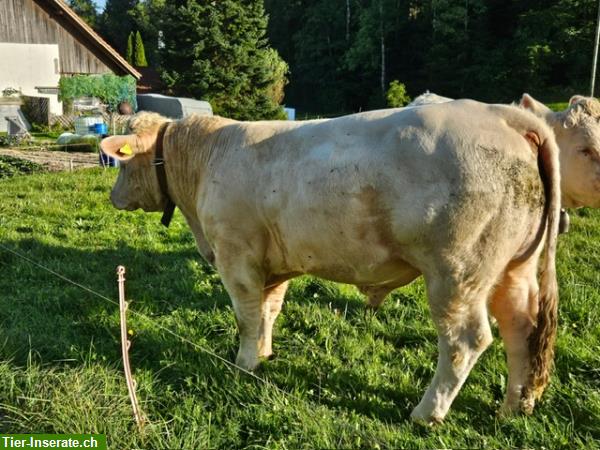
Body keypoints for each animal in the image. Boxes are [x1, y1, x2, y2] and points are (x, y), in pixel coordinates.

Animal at [101, 100, 560, 424]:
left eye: (122, 161)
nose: (113, 197)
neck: (207, 157)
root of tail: (503, 115)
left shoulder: (237, 256)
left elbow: (247, 316)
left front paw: (244, 364)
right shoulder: (274, 262)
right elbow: (269, 310)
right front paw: (265, 354)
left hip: (457, 273)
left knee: (465, 341)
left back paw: (427, 413)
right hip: (513, 268)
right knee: (521, 329)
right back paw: (512, 407)